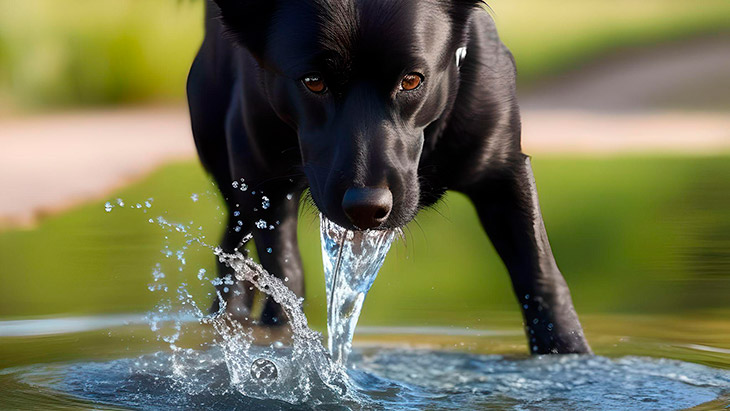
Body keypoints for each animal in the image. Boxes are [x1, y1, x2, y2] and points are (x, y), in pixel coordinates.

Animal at [188, 0, 592, 354]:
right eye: (313, 82)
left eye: (412, 80)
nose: (367, 207)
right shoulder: (263, 186)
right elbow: (285, 276)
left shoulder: (503, 175)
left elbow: (540, 276)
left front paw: (568, 353)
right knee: (234, 255)